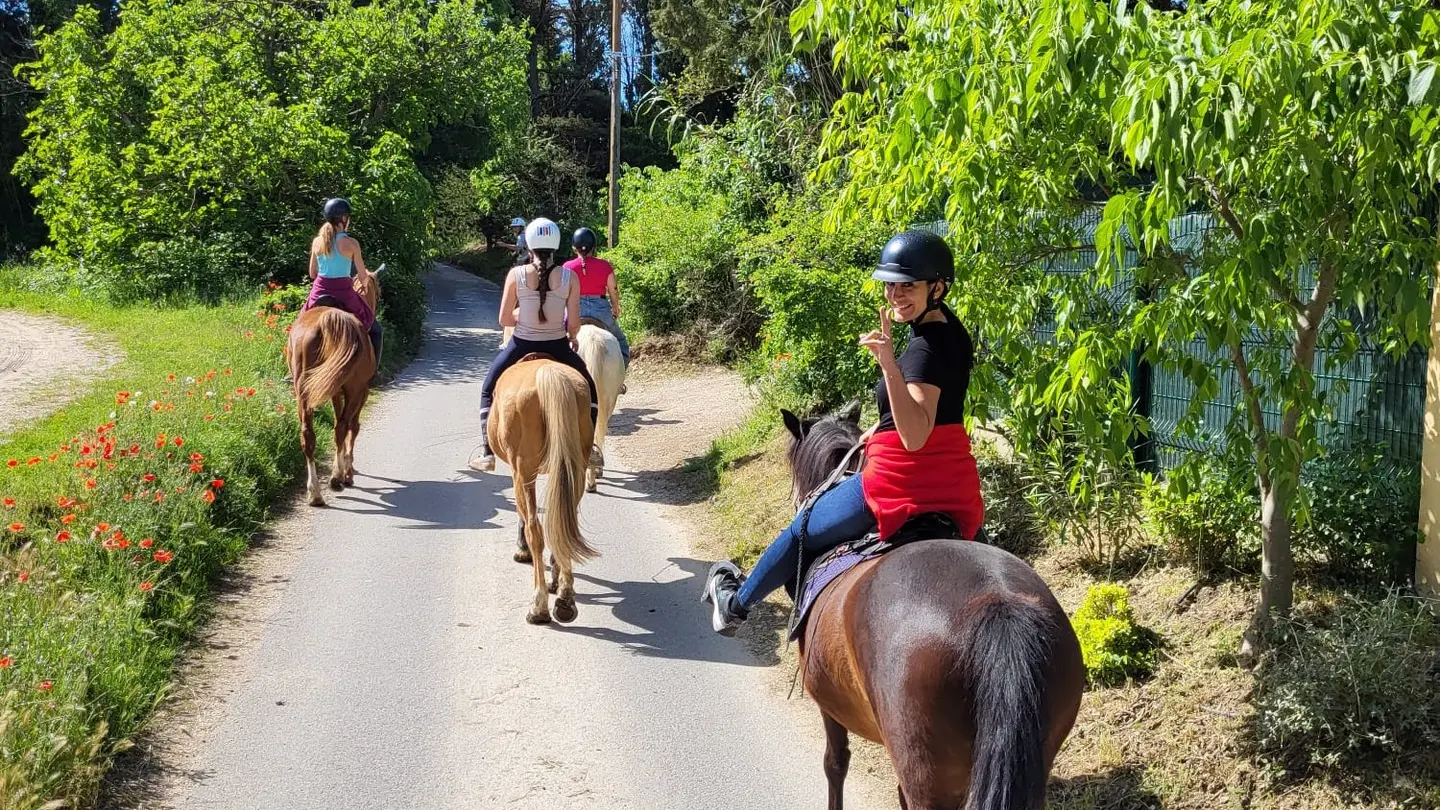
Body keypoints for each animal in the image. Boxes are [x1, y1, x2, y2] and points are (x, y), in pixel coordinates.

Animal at [285, 271, 380, 507]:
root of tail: (328, 319)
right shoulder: (362, 391)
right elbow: (353, 426)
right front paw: (348, 470)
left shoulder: (335, 391)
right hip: (355, 390)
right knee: (342, 427)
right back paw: (337, 479)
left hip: (304, 393)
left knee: (308, 435)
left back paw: (315, 493)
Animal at [488, 355, 598, 624]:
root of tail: (549, 373)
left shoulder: (518, 474)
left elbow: (525, 518)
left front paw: (522, 552)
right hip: (575, 468)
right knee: (564, 526)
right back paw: (565, 599)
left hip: (524, 471)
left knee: (536, 530)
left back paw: (538, 607)